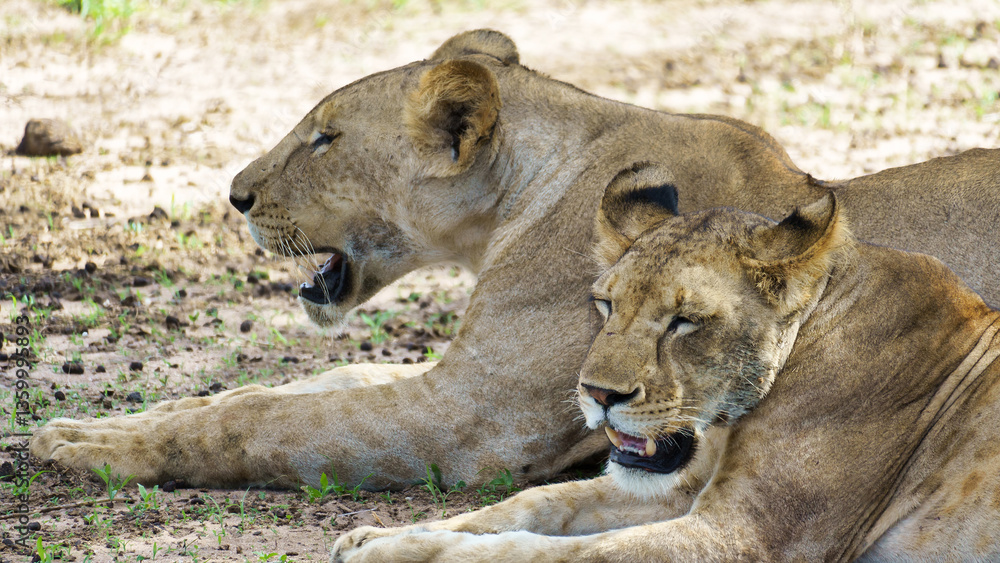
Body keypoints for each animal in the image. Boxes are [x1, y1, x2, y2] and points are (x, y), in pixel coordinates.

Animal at [31, 29, 1000, 491]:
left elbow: (262, 423)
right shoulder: (460, 376)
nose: (233, 194)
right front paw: (97, 424)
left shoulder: (468, 422)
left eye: (325, 138)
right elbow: (273, 390)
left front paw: (88, 449)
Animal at [331, 191, 1000, 562]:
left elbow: (564, 554)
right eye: (605, 305)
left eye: (684, 321)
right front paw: (380, 538)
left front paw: (392, 555)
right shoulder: (681, 490)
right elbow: (535, 502)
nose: (597, 395)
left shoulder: (748, 538)